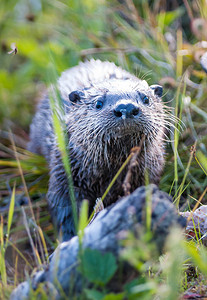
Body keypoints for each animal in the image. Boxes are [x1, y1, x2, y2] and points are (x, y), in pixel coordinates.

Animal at [27, 59, 167, 241]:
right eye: (98, 103)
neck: (110, 176)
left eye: (146, 98)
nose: (126, 107)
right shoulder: (65, 176)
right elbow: (65, 209)